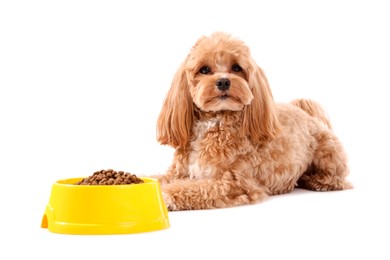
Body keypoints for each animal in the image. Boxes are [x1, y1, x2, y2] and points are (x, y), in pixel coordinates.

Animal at [154, 32, 352, 211]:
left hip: (327, 154)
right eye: (204, 70)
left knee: (336, 178)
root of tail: (307, 114)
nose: (224, 81)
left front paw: (165, 195)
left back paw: (315, 181)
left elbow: (191, 188)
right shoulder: (178, 172)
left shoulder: (231, 183)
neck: (215, 122)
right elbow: (159, 178)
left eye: (236, 68)